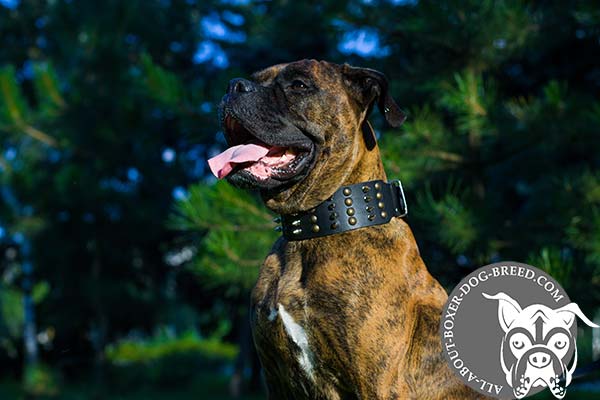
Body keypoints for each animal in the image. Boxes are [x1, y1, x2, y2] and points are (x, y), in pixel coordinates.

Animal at [209, 60, 486, 400]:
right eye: (255, 78)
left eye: (298, 85)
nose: (233, 86)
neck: (313, 230)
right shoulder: (276, 380)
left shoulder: (378, 384)